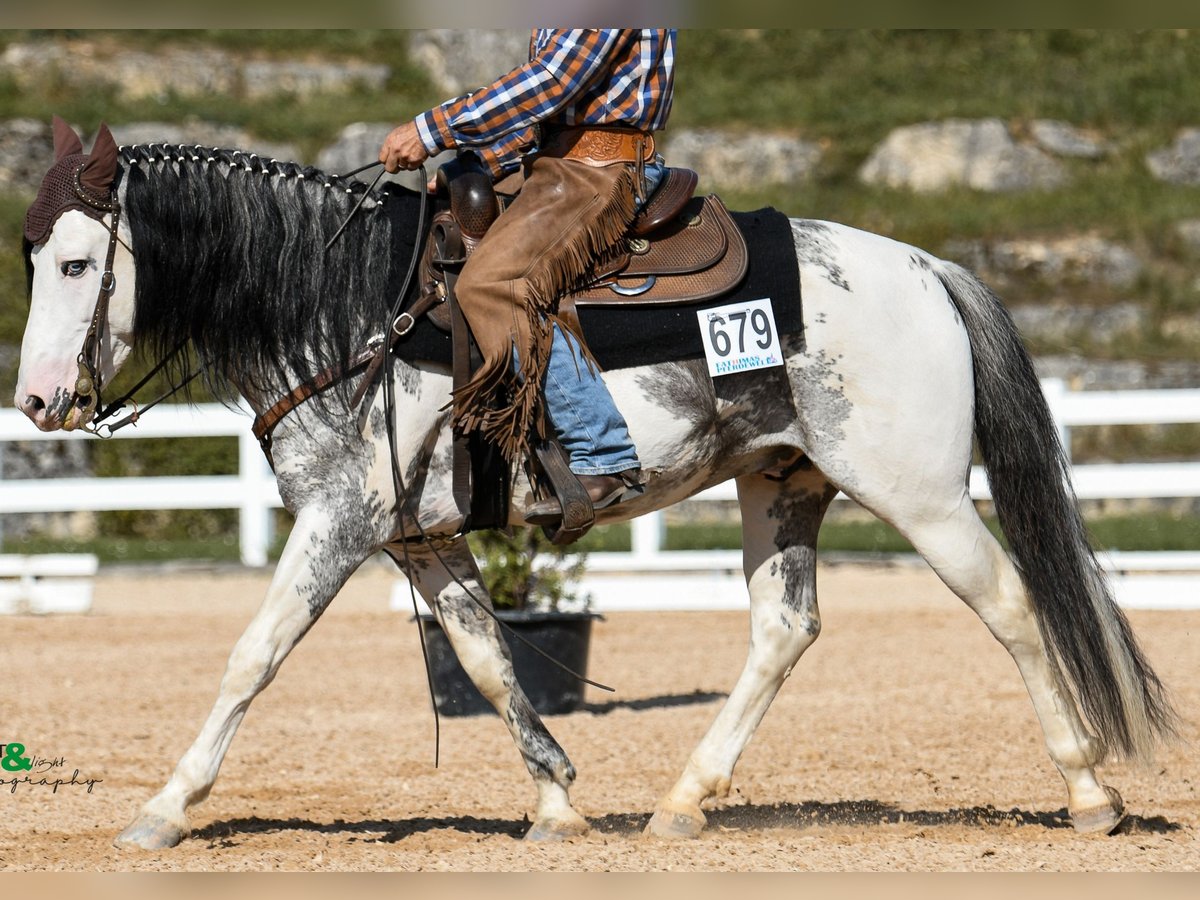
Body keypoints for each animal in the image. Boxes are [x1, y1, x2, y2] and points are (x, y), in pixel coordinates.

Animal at [14, 121, 1176, 854]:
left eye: (75, 264)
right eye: (30, 258)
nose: (35, 401)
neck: (345, 308)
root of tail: (929, 269)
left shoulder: (340, 524)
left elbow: (252, 657)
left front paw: (165, 809)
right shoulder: (419, 539)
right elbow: (485, 663)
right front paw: (557, 803)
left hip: (920, 496)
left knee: (1013, 606)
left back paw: (1089, 792)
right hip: (784, 484)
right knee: (783, 631)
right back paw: (684, 801)